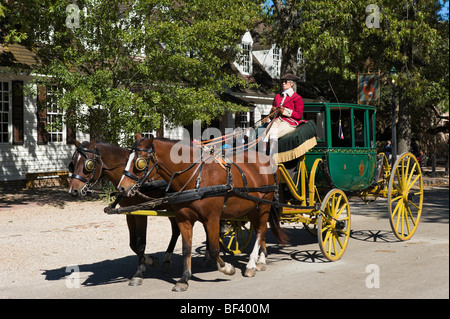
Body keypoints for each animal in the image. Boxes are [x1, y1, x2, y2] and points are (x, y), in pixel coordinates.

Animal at [67, 140, 185, 288]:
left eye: (88, 164)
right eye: (72, 164)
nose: (73, 190)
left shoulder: (140, 212)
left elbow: (141, 243)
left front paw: (139, 273)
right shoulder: (130, 213)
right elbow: (133, 244)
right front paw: (150, 260)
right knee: (176, 230)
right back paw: (167, 259)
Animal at [116, 134, 284, 292]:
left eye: (139, 162)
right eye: (127, 159)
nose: (121, 188)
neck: (197, 179)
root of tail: (267, 159)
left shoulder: (212, 219)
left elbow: (215, 249)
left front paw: (228, 268)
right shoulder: (184, 219)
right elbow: (186, 249)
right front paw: (184, 279)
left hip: (264, 205)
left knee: (261, 230)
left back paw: (252, 264)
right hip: (252, 208)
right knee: (259, 230)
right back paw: (260, 260)